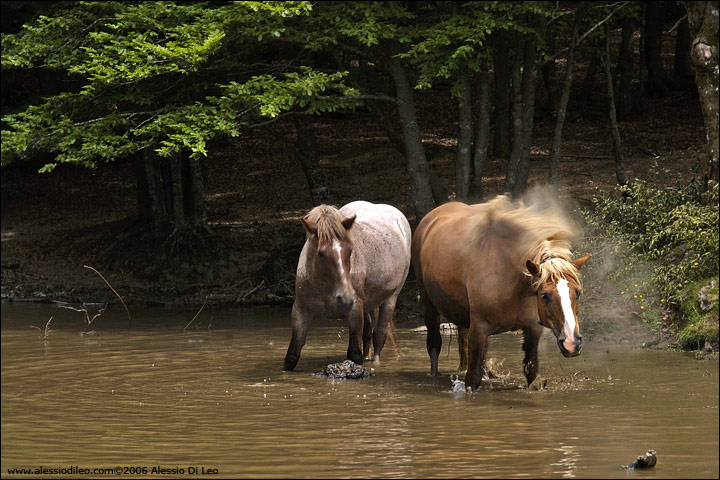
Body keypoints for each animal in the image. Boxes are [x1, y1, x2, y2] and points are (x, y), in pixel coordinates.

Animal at [286, 201, 414, 370]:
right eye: (320, 253)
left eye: (349, 251)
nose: (346, 297)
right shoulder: (300, 310)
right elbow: (292, 356)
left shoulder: (354, 311)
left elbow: (354, 354)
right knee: (367, 333)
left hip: (391, 299)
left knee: (379, 335)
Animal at [410, 194, 592, 390]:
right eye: (545, 295)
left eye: (578, 292)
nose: (572, 343)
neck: (513, 282)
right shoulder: (479, 327)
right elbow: (472, 378)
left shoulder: (532, 329)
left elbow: (531, 371)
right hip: (429, 305)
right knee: (434, 345)